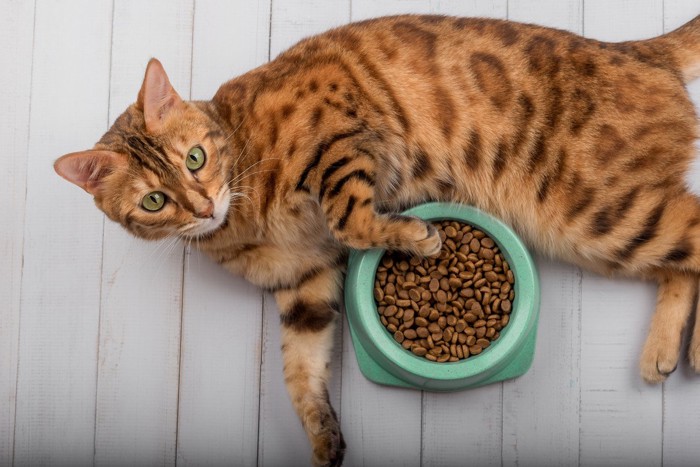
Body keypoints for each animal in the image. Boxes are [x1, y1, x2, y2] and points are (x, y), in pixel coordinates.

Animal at [53, 14, 700, 467]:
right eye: (154, 202)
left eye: (195, 158)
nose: (203, 206)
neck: (243, 224)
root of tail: (638, 50)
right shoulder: (305, 284)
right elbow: (299, 370)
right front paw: (323, 440)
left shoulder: (339, 137)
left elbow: (349, 217)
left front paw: (416, 235)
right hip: (607, 228)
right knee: (682, 258)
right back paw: (667, 353)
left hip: (592, 212)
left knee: (693, 230)